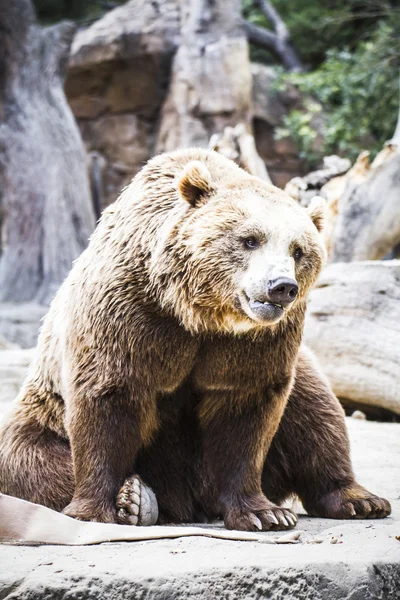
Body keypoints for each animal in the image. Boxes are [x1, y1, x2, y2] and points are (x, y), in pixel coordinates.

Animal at [0, 149, 390, 528]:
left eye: (298, 250)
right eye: (250, 239)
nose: (281, 287)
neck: (200, 314)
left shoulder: (256, 343)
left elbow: (246, 411)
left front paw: (264, 513)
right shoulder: (130, 312)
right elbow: (107, 396)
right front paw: (93, 510)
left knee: (315, 411)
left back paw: (359, 500)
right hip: (39, 414)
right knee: (26, 462)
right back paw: (139, 498)